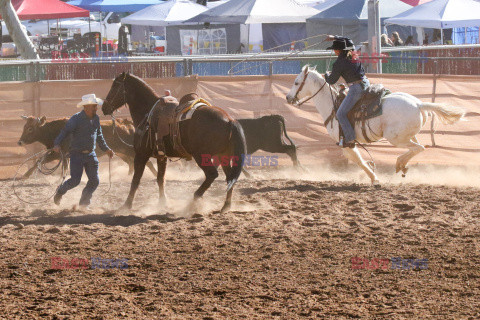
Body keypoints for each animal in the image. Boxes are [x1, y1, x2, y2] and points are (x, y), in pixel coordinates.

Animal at [100, 72, 246, 212]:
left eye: (115, 86)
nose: (104, 107)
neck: (147, 113)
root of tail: (229, 120)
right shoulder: (161, 156)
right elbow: (160, 179)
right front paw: (162, 203)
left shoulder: (141, 155)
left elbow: (136, 180)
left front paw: (126, 205)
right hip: (223, 155)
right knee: (230, 178)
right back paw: (226, 206)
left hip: (201, 155)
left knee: (212, 175)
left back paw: (194, 199)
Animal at [284, 65, 464, 184]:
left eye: (296, 82)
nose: (288, 98)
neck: (333, 105)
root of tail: (419, 105)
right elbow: (359, 160)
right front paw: (373, 177)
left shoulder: (346, 144)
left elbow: (359, 161)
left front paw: (374, 178)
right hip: (408, 135)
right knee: (417, 148)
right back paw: (402, 166)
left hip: (395, 138)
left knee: (418, 148)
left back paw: (399, 164)